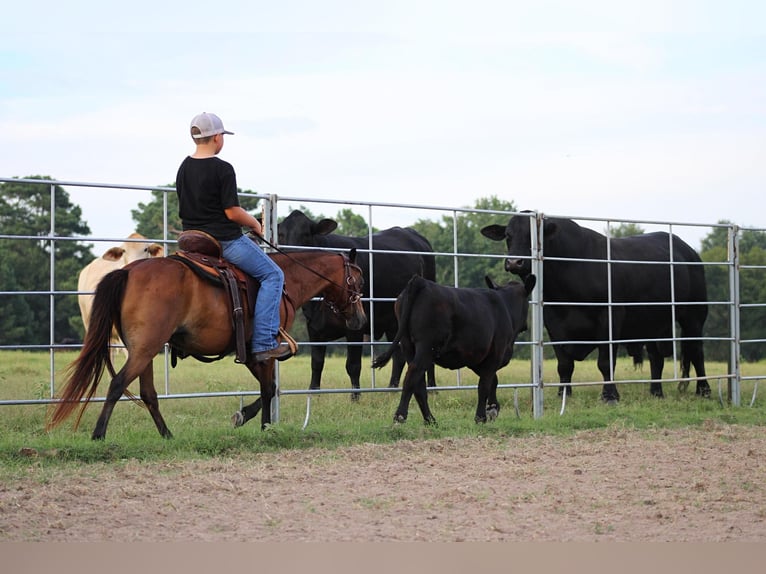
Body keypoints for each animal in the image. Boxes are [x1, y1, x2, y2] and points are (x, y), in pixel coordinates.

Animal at [46, 248, 366, 440]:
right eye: (359, 282)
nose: (361, 320)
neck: (286, 281)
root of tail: (128, 271)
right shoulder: (264, 350)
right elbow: (268, 388)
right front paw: (261, 426)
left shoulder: (251, 353)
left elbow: (268, 388)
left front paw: (249, 418)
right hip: (144, 349)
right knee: (117, 385)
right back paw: (99, 435)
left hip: (144, 350)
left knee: (147, 393)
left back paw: (167, 436)